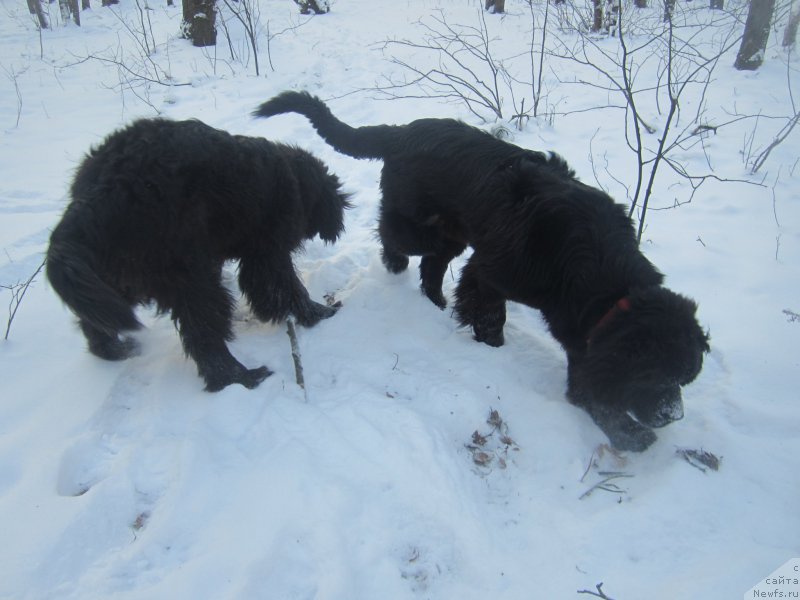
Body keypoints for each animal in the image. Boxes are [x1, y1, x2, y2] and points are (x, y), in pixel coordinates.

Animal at [47, 118, 350, 392]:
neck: (294, 179)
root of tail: (95, 194)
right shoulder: (267, 252)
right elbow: (285, 289)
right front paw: (318, 313)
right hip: (188, 277)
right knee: (203, 334)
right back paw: (240, 378)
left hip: (117, 272)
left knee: (95, 318)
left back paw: (113, 349)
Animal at [253, 91, 708, 450]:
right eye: (652, 372)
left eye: (685, 378)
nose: (673, 416)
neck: (594, 270)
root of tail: (402, 131)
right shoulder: (491, 272)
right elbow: (490, 316)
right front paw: (492, 349)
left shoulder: (582, 331)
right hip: (422, 225)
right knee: (394, 235)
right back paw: (395, 263)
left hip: (451, 233)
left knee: (432, 267)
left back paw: (435, 305)